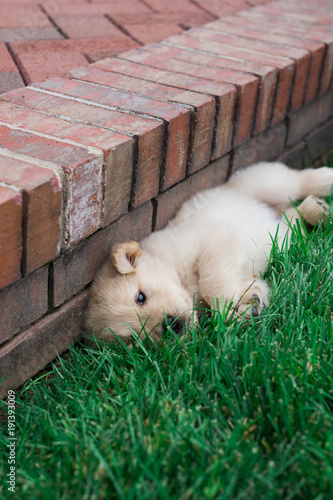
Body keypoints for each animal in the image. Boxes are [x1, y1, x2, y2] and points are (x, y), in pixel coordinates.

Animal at [85, 163, 332, 344]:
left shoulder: (216, 240)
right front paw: (246, 306)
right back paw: (317, 210)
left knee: (299, 180)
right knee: (294, 218)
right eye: (135, 338)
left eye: (140, 297)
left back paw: (325, 183)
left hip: (264, 183)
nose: (171, 326)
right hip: (284, 236)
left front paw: (230, 304)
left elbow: (211, 279)